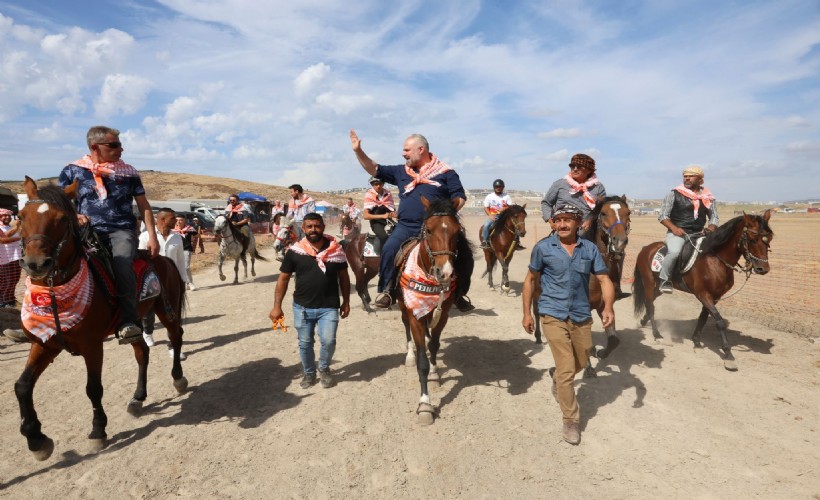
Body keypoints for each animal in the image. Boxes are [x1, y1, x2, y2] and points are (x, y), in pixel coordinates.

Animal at [15, 178, 188, 462]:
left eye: (63, 219)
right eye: (20, 217)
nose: (36, 263)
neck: (56, 296)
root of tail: (161, 257)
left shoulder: (92, 346)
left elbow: (93, 388)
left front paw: (98, 430)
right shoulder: (44, 344)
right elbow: (22, 386)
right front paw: (36, 439)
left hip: (166, 309)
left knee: (176, 337)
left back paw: (178, 379)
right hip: (135, 321)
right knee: (142, 352)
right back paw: (138, 398)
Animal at [398, 197, 468, 424]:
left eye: (457, 231)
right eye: (428, 230)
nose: (444, 271)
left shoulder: (443, 314)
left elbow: (435, 345)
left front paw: (436, 373)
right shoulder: (415, 317)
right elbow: (422, 363)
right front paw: (425, 405)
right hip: (403, 308)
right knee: (406, 328)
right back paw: (409, 355)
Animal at [636, 209, 776, 370]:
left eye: (769, 239)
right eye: (752, 239)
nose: (763, 269)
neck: (715, 260)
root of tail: (645, 249)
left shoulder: (715, 296)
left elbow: (703, 317)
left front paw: (696, 341)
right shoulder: (703, 294)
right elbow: (719, 321)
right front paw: (728, 354)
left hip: (660, 286)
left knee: (650, 301)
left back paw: (643, 321)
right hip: (648, 282)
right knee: (650, 305)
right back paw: (657, 335)